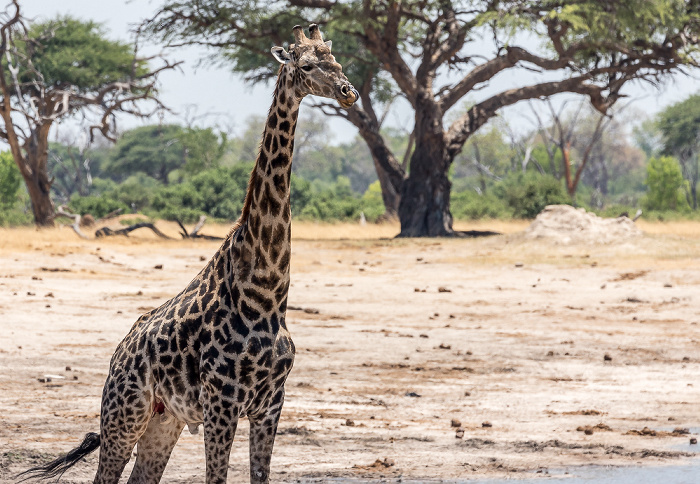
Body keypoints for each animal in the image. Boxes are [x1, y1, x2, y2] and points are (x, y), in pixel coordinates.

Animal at [20, 25, 360, 484]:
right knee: (106, 474)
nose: (348, 92)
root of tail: (116, 356)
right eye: (306, 65)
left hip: (165, 419)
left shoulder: (271, 404)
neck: (266, 294)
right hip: (123, 414)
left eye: (336, 61)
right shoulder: (222, 403)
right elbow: (216, 477)